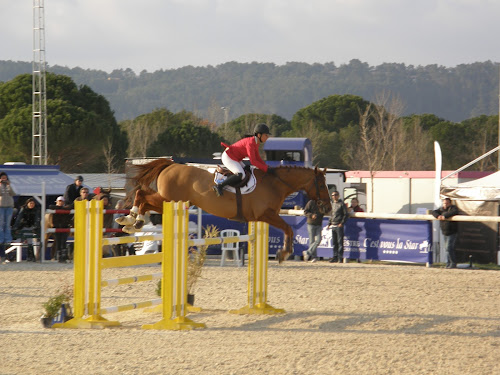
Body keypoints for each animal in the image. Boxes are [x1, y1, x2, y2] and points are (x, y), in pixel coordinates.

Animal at [117, 160, 332, 262]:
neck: (275, 184)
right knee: (142, 194)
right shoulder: (266, 214)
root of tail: (171, 165)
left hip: (169, 200)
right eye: (322, 184)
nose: (328, 207)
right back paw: (132, 219)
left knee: (144, 197)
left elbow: (288, 230)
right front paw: (283, 254)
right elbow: (288, 229)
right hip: (169, 199)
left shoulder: (264, 217)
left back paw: (132, 221)